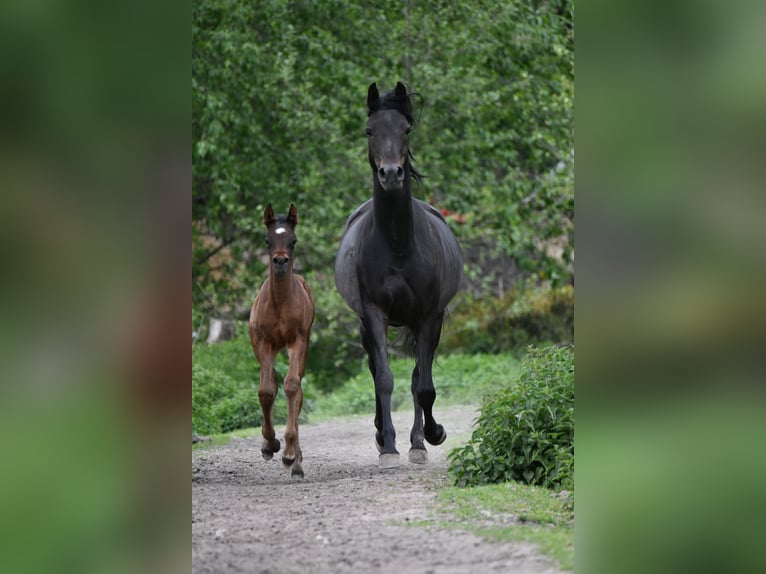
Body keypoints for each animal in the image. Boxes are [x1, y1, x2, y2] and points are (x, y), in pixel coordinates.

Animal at [334, 81, 462, 468]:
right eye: (369, 130)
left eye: (405, 129)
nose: (390, 175)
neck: (398, 245)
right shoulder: (374, 313)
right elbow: (385, 379)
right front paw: (388, 447)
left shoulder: (430, 317)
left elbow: (423, 386)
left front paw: (430, 437)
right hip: (365, 325)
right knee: (377, 372)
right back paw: (382, 437)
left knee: (420, 377)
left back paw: (419, 440)